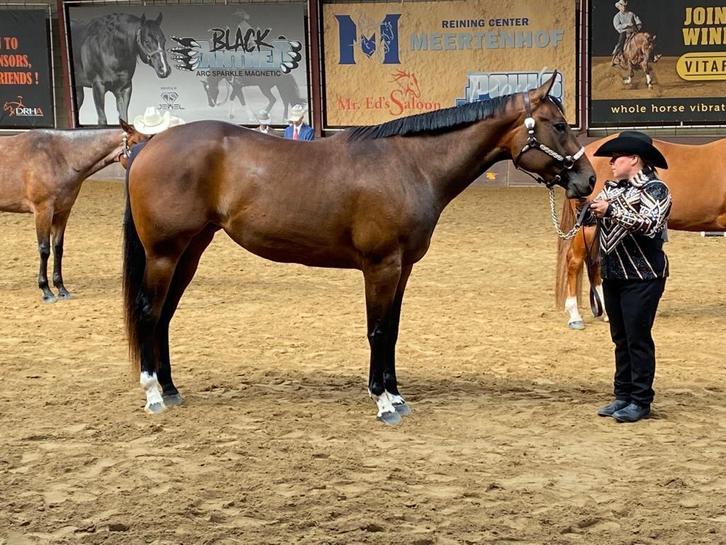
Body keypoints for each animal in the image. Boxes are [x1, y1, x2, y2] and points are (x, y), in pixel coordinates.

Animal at [0, 128, 124, 301]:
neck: (61, 156)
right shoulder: (43, 211)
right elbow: (44, 249)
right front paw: (46, 290)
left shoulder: (62, 212)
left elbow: (58, 248)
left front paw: (61, 288)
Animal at [122, 73, 595, 423]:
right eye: (559, 125)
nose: (588, 180)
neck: (410, 165)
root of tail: (150, 144)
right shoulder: (381, 266)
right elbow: (378, 330)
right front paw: (383, 402)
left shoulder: (402, 268)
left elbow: (393, 329)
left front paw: (396, 395)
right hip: (164, 253)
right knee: (149, 311)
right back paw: (153, 393)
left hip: (190, 251)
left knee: (164, 315)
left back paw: (171, 388)